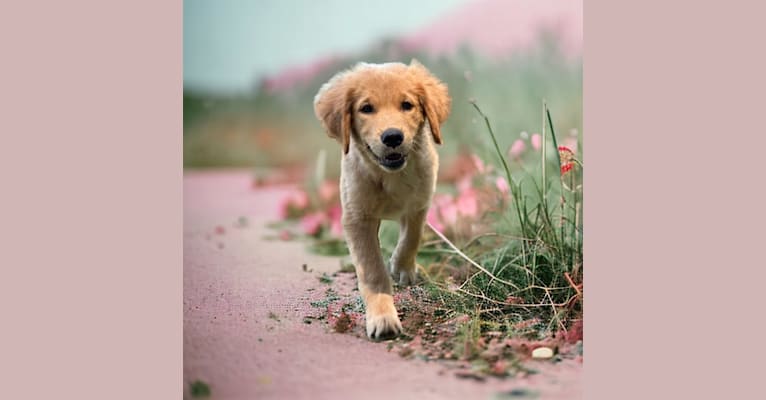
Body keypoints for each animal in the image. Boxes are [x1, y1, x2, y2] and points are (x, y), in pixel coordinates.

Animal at [316, 61, 452, 340]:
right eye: (366, 108)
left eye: (407, 105)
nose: (392, 137)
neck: (390, 176)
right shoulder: (357, 217)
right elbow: (372, 270)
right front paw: (382, 316)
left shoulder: (420, 203)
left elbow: (411, 237)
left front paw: (402, 268)